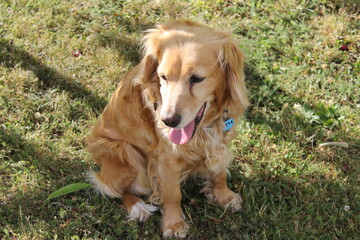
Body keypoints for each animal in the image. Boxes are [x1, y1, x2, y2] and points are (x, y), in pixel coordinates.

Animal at [85, 20, 248, 238]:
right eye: (163, 77)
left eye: (197, 78)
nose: (168, 121)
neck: (206, 125)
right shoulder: (166, 158)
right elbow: (173, 194)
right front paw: (174, 224)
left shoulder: (221, 141)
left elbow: (219, 172)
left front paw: (223, 195)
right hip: (123, 153)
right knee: (112, 187)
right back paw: (137, 207)